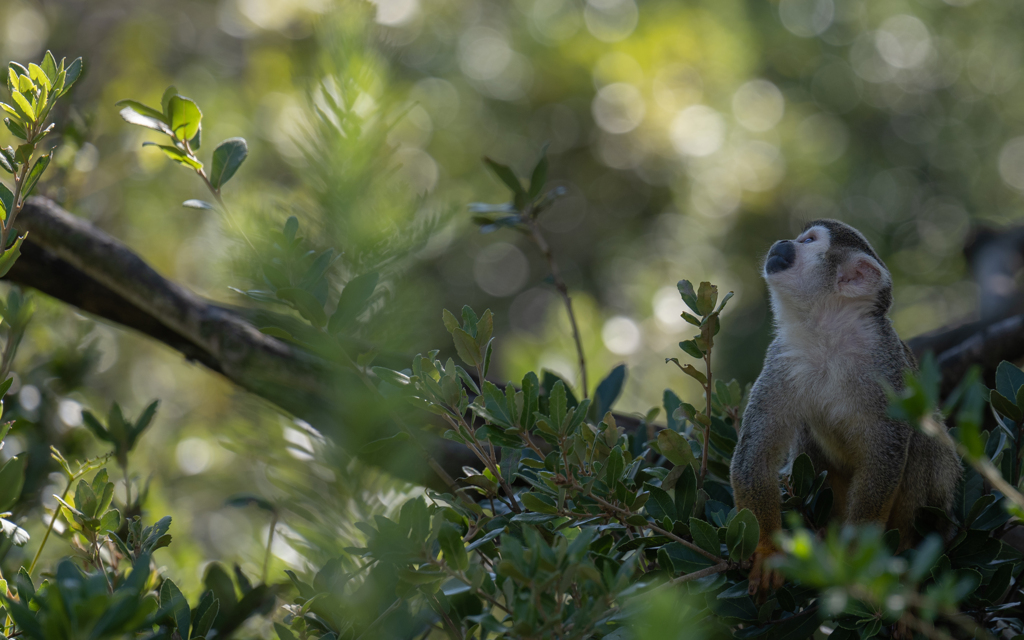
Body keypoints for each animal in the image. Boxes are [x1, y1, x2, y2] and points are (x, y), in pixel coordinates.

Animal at [729, 219, 958, 593]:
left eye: (808, 241)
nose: (782, 242)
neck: (828, 336)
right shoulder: (782, 358)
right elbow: (756, 456)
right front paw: (768, 551)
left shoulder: (886, 368)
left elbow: (885, 455)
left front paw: (857, 557)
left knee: (923, 442)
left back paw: (907, 546)